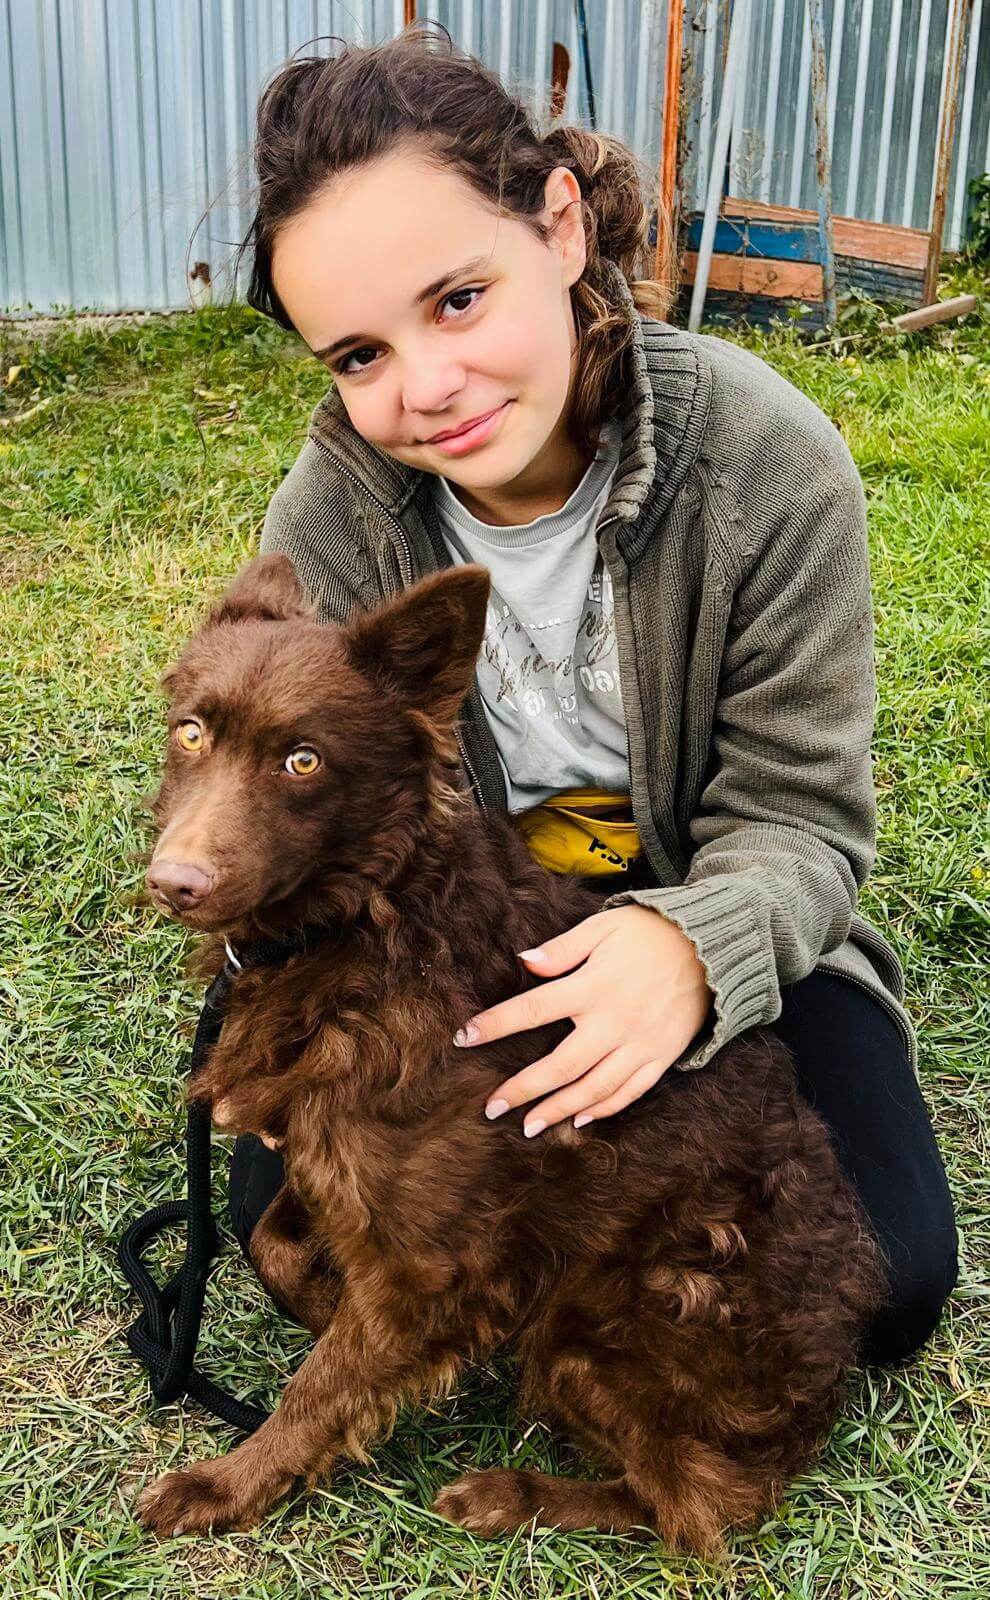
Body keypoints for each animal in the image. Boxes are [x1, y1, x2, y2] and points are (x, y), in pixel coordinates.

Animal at [136, 552, 885, 1552]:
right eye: (190, 733)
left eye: (304, 760)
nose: (173, 883)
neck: (370, 921)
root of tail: (820, 1397)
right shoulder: (334, 1162)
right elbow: (273, 1243)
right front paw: (338, 1315)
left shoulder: (427, 1257)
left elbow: (319, 1389)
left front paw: (230, 1484)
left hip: (597, 1321)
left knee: (696, 1503)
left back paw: (509, 1496)